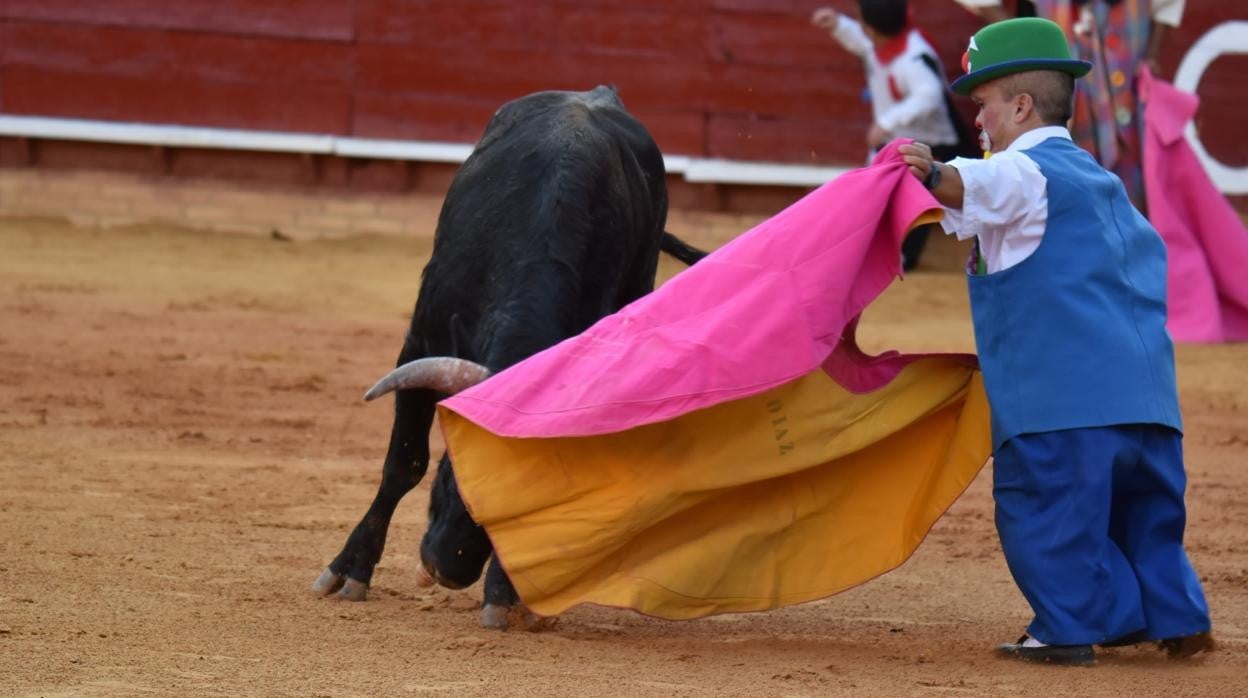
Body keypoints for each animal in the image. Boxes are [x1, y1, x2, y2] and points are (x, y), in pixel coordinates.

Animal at [308, 84, 708, 631]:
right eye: (456, 471)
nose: (449, 569)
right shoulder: (421, 340)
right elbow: (403, 464)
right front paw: (349, 571)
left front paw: (505, 593)